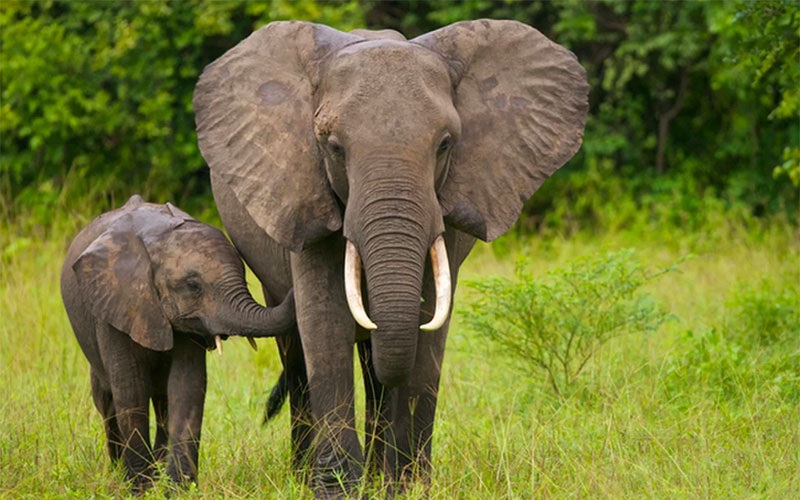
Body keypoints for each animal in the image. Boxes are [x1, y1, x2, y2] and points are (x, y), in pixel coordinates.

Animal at [61, 194, 296, 488]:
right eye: (193, 285)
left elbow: (187, 385)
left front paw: (177, 487)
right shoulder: (115, 305)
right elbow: (130, 388)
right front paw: (139, 487)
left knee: (162, 401)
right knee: (107, 400)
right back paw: (119, 471)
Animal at [194, 18, 588, 496]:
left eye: (445, 144)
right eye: (333, 147)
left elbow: (428, 328)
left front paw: (409, 488)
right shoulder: (303, 189)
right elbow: (324, 325)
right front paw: (336, 491)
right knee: (299, 353)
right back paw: (308, 475)